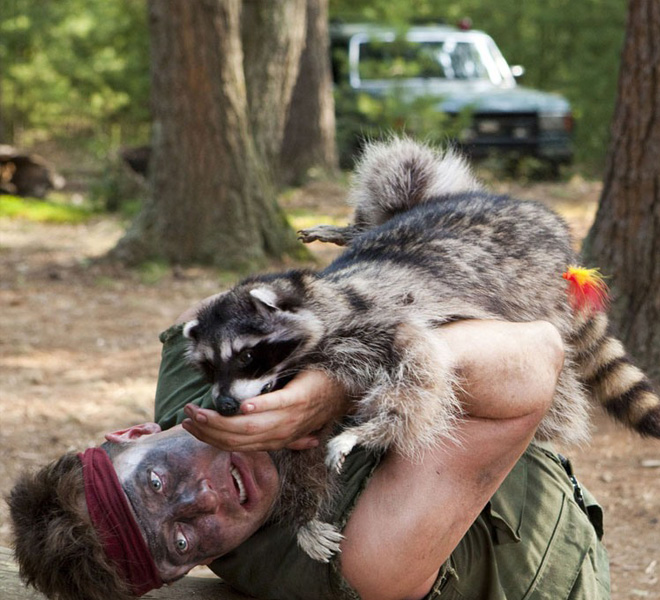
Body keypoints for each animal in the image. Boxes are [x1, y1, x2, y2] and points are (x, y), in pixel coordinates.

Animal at [182, 136, 660, 564]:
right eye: (209, 368)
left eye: (246, 356)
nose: (224, 405)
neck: (322, 299)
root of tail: (554, 236)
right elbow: (299, 451)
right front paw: (305, 513)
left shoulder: (377, 323)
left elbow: (419, 370)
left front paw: (370, 430)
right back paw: (355, 227)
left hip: (531, 288)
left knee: (404, 165)